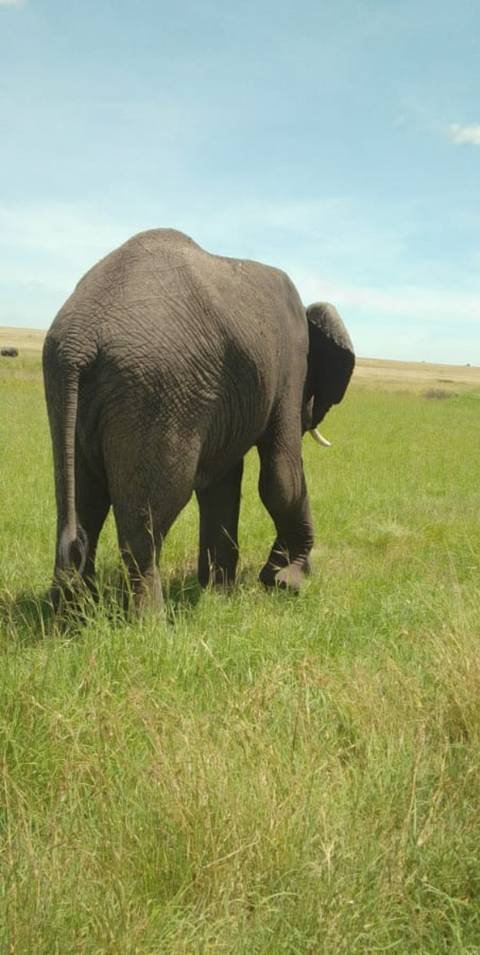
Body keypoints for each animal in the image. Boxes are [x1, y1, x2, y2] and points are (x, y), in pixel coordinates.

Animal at [42, 228, 354, 613]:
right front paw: (286, 583)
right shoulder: (289, 368)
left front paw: (219, 595)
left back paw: (70, 617)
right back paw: (149, 621)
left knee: (80, 506)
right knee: (149, 516)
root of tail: (79, 341)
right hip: (155, 390)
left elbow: (221, 484)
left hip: (69, 392)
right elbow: (282, 477)